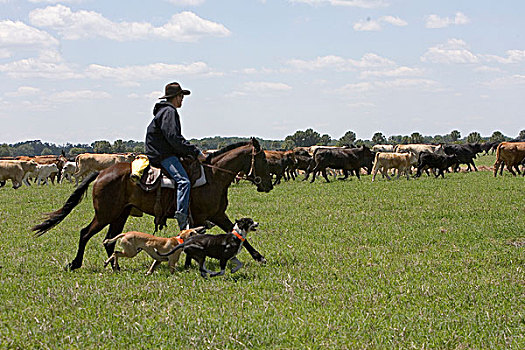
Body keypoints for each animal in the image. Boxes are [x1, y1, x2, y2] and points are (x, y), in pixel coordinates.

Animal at [32, 137, 272, 270]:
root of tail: (101, 173)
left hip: (119, 215)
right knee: (85, 234)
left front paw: (259, 257)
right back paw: (76, 263)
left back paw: (115, 267)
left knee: (110, 240)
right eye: (263, 158)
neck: (214, 175)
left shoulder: (216, 215)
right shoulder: (205, 216)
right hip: (105, 214)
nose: (268, 184)